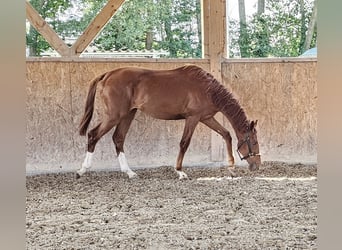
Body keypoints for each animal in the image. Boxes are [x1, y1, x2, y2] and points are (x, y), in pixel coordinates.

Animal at [76, 64, 260, 178]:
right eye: (254, 142)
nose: (257, 165)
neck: (207, 89)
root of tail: (107, 75)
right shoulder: (193, 118)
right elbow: (184, 143)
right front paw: (180, 171)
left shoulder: (206, 117)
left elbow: (226, 134)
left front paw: (231, 167)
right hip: (114, 115)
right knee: (93, 135)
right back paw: (83, 170)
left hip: (128, 114)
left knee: (118, 138)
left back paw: (129, 172)